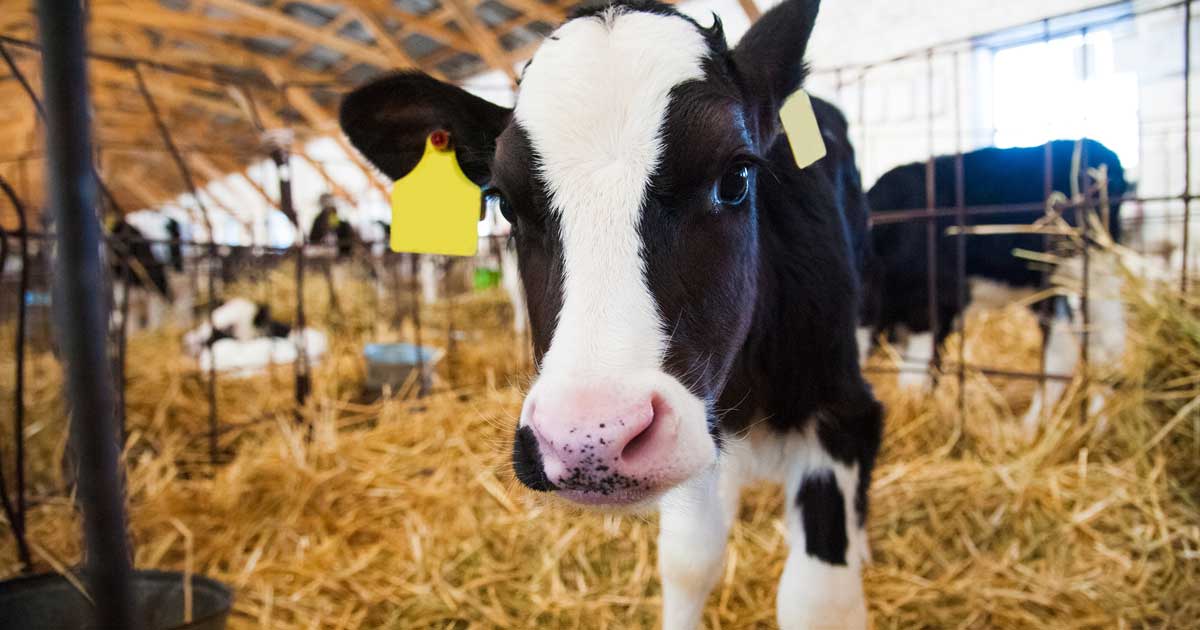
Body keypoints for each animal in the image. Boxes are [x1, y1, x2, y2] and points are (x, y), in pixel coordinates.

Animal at [338, 2, 883, 624]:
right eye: (504, 202)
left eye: (736, 176)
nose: (587, 442)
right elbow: (689, 561)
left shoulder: (842, 416)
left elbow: (818, 602)